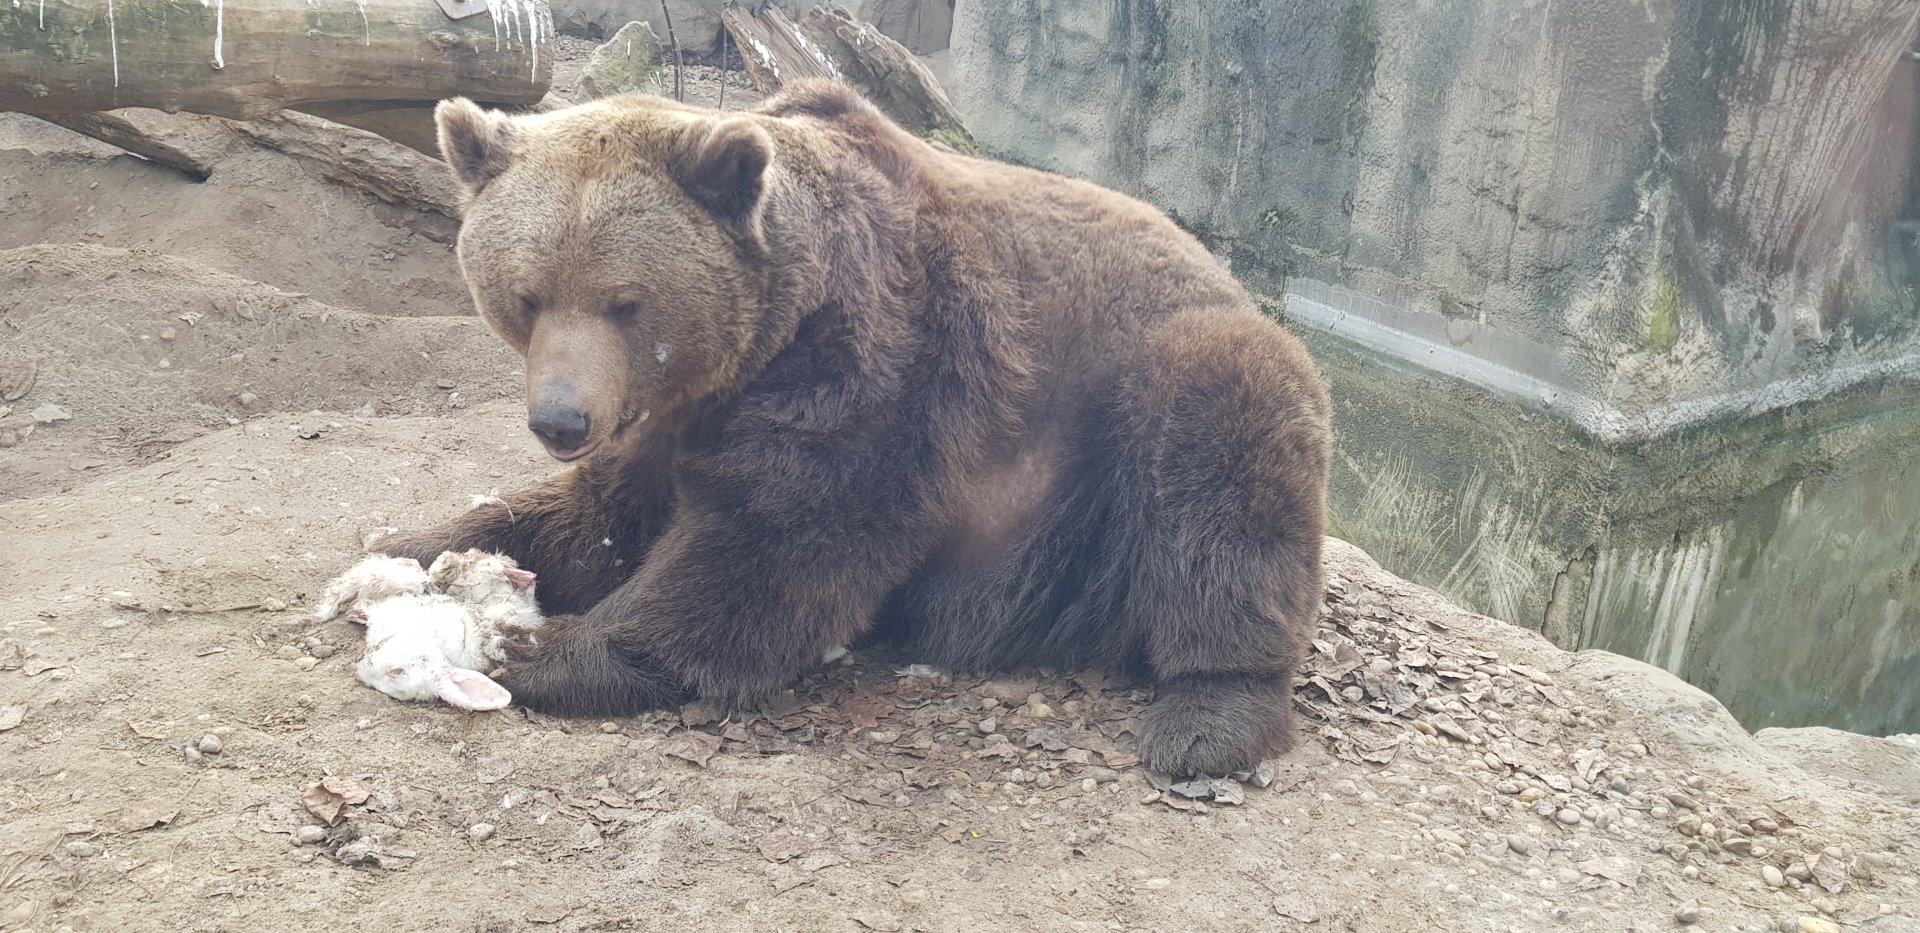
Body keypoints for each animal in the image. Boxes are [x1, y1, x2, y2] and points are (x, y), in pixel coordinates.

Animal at [373, 79, 1333, 777]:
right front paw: (411, 546)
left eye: (625, 301)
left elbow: (776, 543)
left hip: (1130, 421)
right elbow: (599, 514)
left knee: (1224, 480)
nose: (562, 418)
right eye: (526, 294)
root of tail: (1231, 275)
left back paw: (1208, 718)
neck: (763, 340)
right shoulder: (672, 414)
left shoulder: (879, 368)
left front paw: (541, 646)